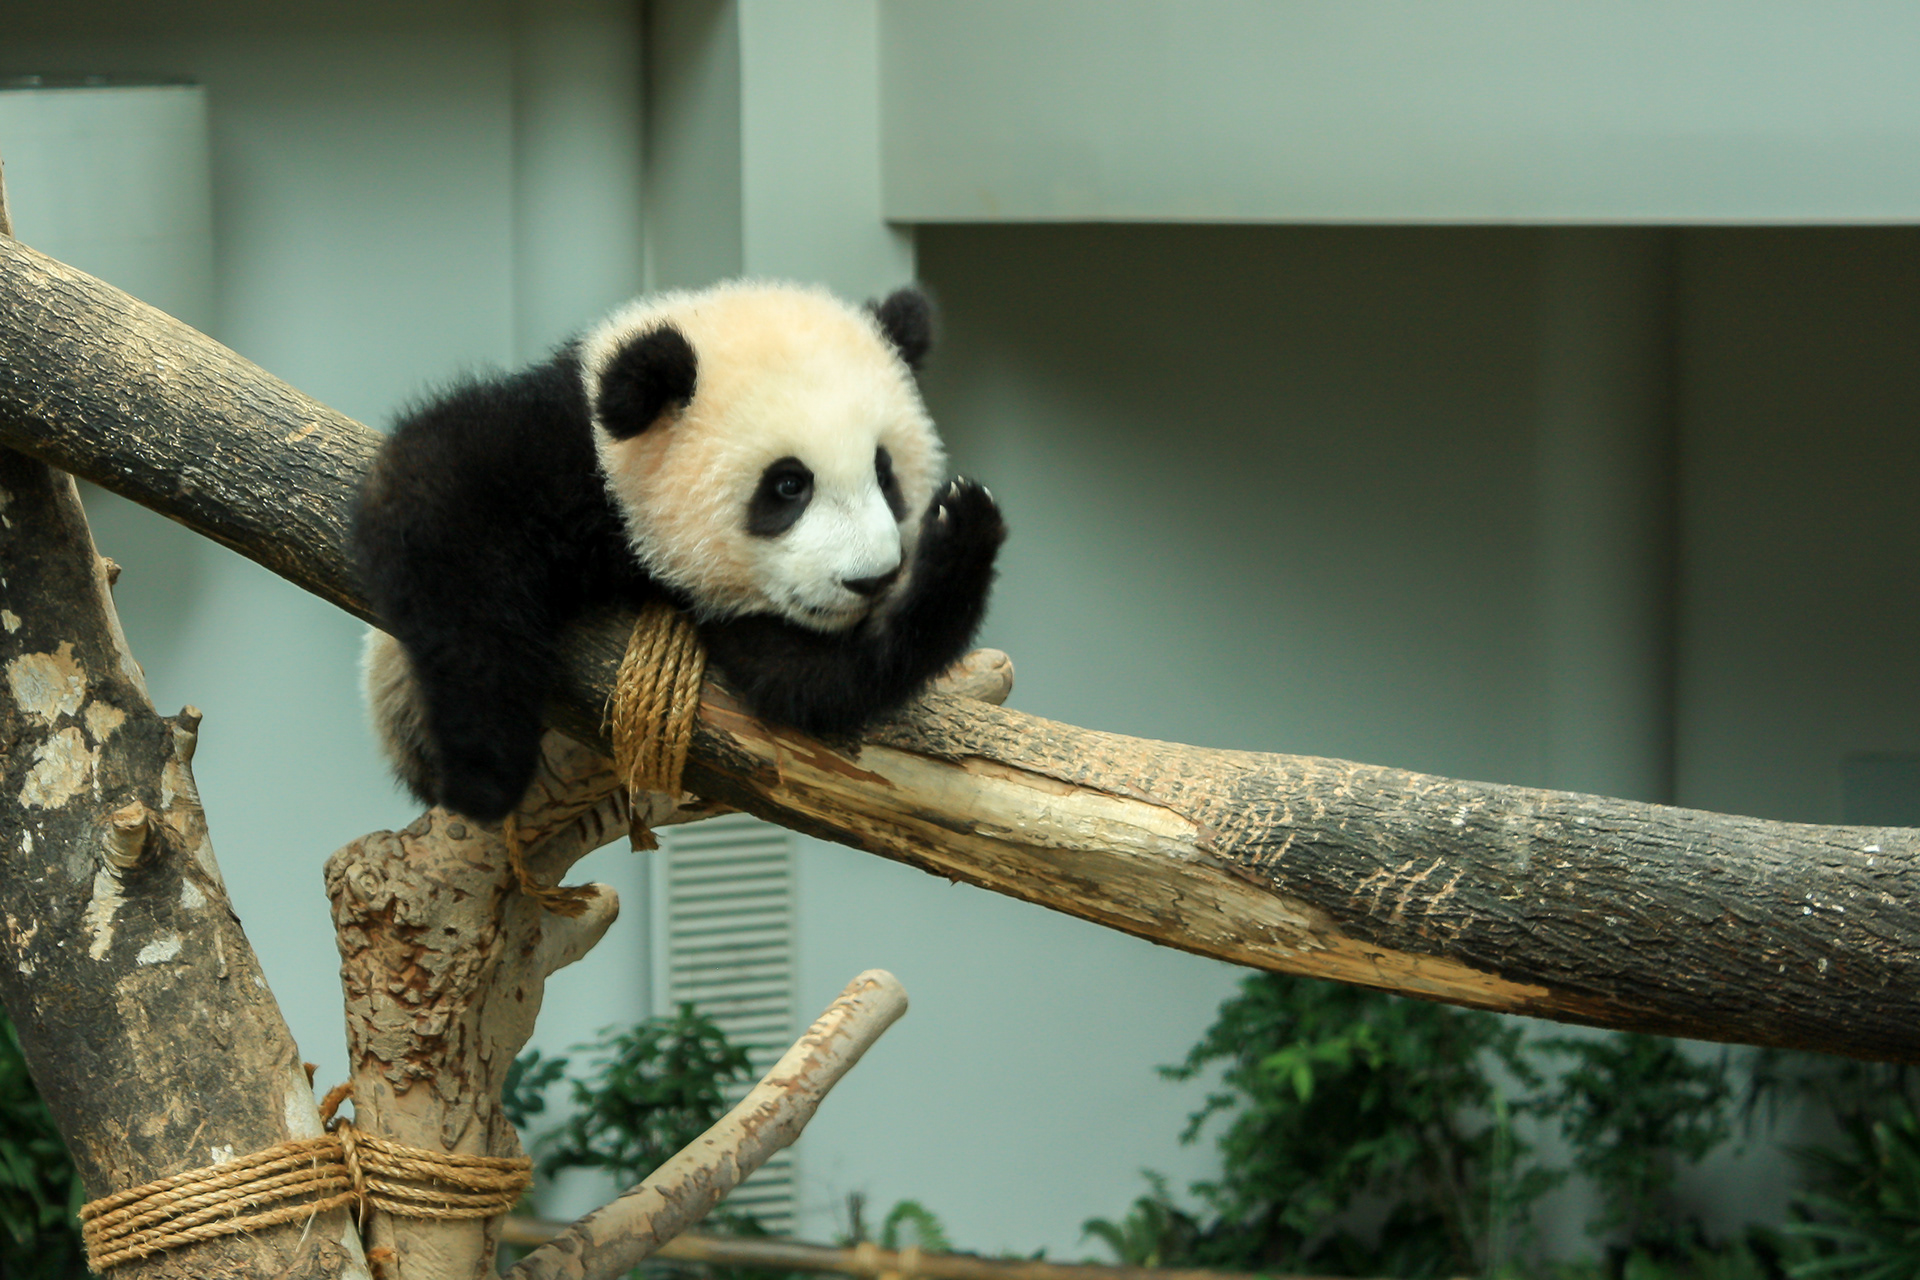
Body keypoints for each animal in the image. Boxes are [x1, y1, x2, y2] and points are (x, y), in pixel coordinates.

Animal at [352, 280, 1005, 823]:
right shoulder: (561, 448)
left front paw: (963, 535)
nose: (871, 581)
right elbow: (433, 497)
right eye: (788, 486)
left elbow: (813, 684)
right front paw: (485, 773)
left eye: (885, 474)